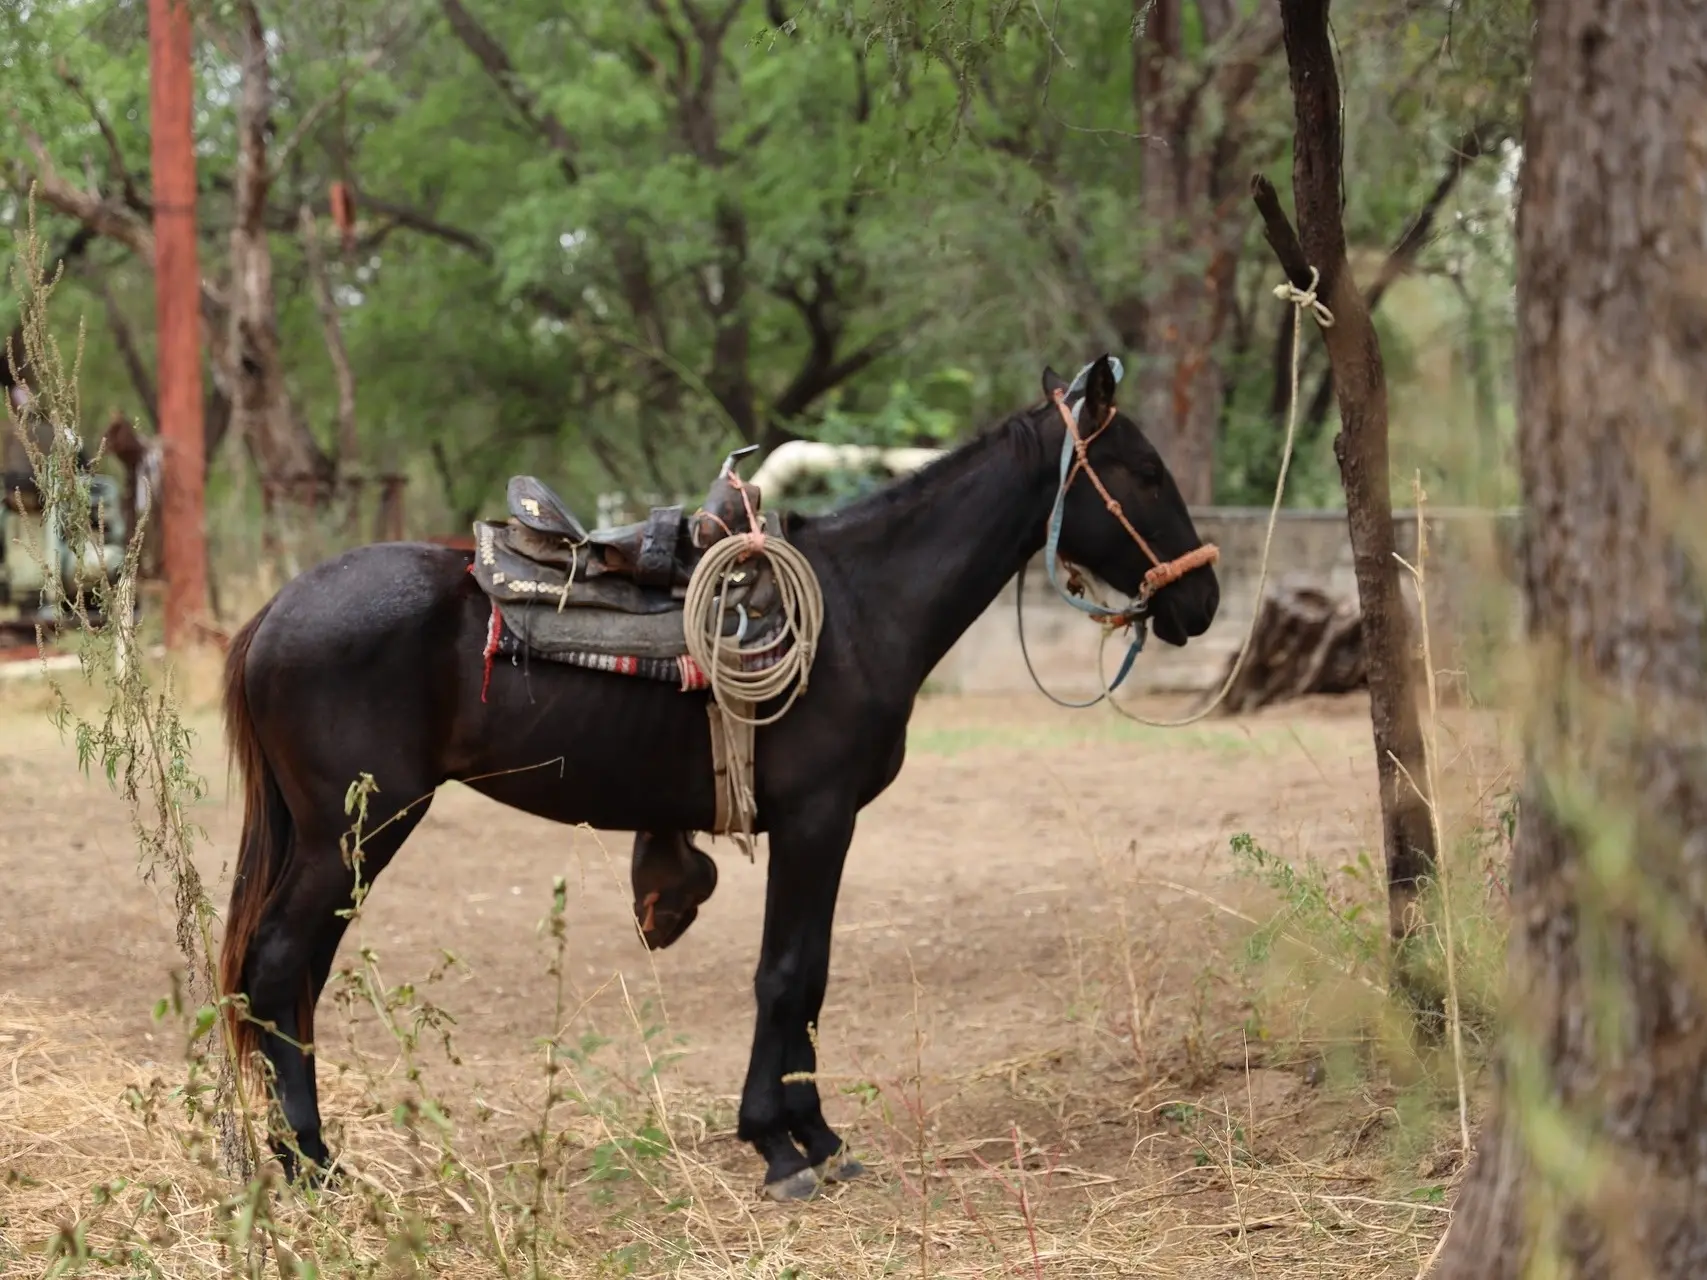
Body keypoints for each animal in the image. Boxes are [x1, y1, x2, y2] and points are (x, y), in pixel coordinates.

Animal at [220, 358, 1222, 1201]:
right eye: (1143, 473)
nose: (1201, 600)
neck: (859, 606)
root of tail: (276, 609)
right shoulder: (818, 821)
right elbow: (787, 973)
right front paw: (781, 1146)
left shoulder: (820, 828)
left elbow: (807, 974)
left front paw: (816, 1138)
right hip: (354, 830)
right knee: (277, 966)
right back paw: (310, 1163)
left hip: (346, 838)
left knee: (296, 977)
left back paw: (295, 1154)